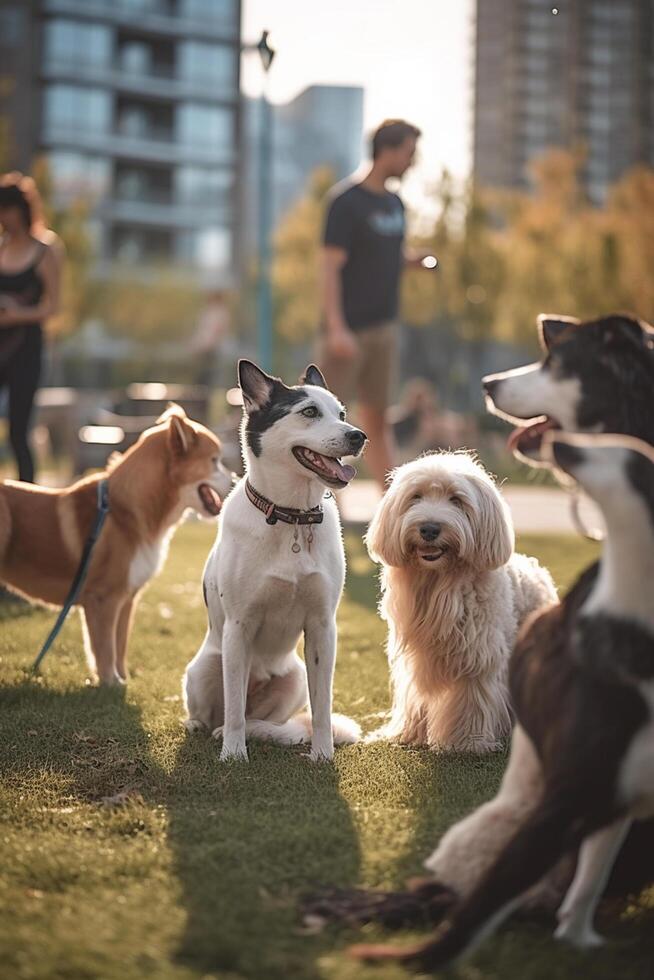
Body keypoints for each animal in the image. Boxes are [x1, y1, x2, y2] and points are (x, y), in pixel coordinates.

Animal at [184, 362, 366, 764]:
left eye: (342, 415)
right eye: (309, 412)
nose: (359, 436)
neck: (290, 516)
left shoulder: (322, 629)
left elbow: (322, 705)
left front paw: (322, 754)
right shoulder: (238, 627)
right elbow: (234, 708)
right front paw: (233, 754)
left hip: (293, 677)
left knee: (258, 716)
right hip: (205, 667)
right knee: (225, 710)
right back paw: (205, 727)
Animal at [366, 452, 556, 752]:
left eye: (456, 500)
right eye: (416, 497)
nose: (429, 528)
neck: (439, 581)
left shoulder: (478, 654)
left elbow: (472, 697)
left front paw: (467, 742)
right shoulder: (414, 658)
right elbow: (414, 696)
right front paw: (408, 733)